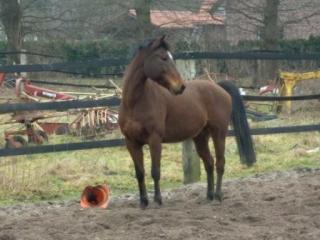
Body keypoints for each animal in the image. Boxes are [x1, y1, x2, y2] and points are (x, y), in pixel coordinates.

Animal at [119, 36, 256, 208]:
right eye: (163, 58)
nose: (180, 86)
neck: (134, 103)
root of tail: (218, 87)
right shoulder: (131, 142)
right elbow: (140, 173)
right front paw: (143, 202)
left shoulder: (154, 139)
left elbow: (155, 171)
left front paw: (158, 200)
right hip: (200, 137)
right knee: (209, 163)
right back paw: (209, 196)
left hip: (219, 133)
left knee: (220, 163)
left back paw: (218, 195)